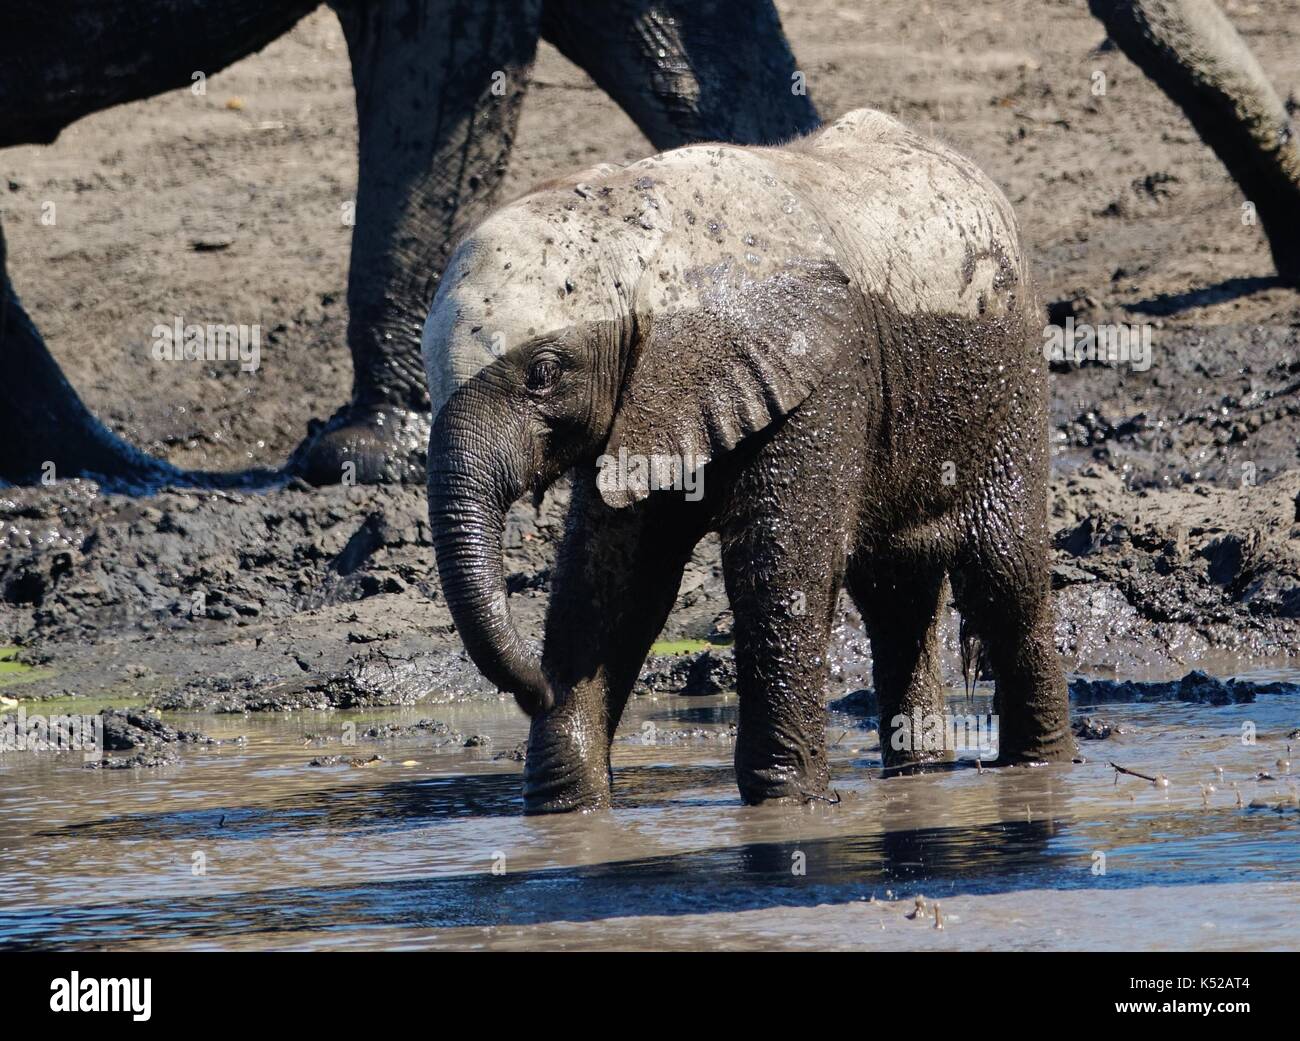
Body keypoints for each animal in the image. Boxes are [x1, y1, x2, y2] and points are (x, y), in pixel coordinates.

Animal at [426, 109, 1076, 816]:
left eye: (543, 373)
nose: (533, 691)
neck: (627, 224)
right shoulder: (649, 397)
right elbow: (609, 580)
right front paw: (566, 813)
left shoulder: (818, 375)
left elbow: (780, 568)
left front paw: (786, 806)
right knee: (894, 596)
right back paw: (919, 776)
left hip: (1010, 377)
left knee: (1004, 575)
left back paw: (1041, 768)